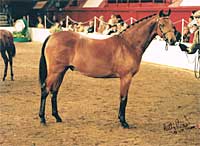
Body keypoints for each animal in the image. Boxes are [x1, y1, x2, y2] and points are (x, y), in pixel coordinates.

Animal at [38, 9, 176, 128]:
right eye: (162, 24)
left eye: (172, 25)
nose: (173, 41)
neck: (128, 45)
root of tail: (52, 36)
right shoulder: (126, 77)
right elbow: (124, 98)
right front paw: (123, 122)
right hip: (55, 72)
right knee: (45, 90)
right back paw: (42, 119)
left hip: (61, 71)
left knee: (54, 91)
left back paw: (57, 117)